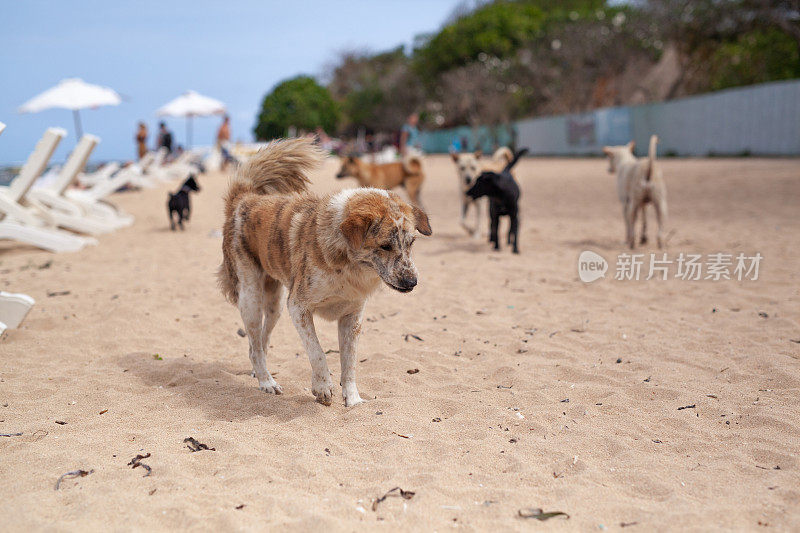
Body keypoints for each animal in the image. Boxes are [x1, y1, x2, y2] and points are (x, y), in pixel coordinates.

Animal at [217, 138, 432, 408]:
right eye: (385, 246)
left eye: (411, 242)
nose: (412, 282)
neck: (349, 264)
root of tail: (245, 197)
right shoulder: (298, 307)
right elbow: (317, 351)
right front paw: (322, 388)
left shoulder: (352, 317)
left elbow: (349, 362)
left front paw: (353, 400)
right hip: (251, 298)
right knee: (255, 345)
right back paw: (267, 382)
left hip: (274, 303)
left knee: (259, 343)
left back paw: (259, 373)